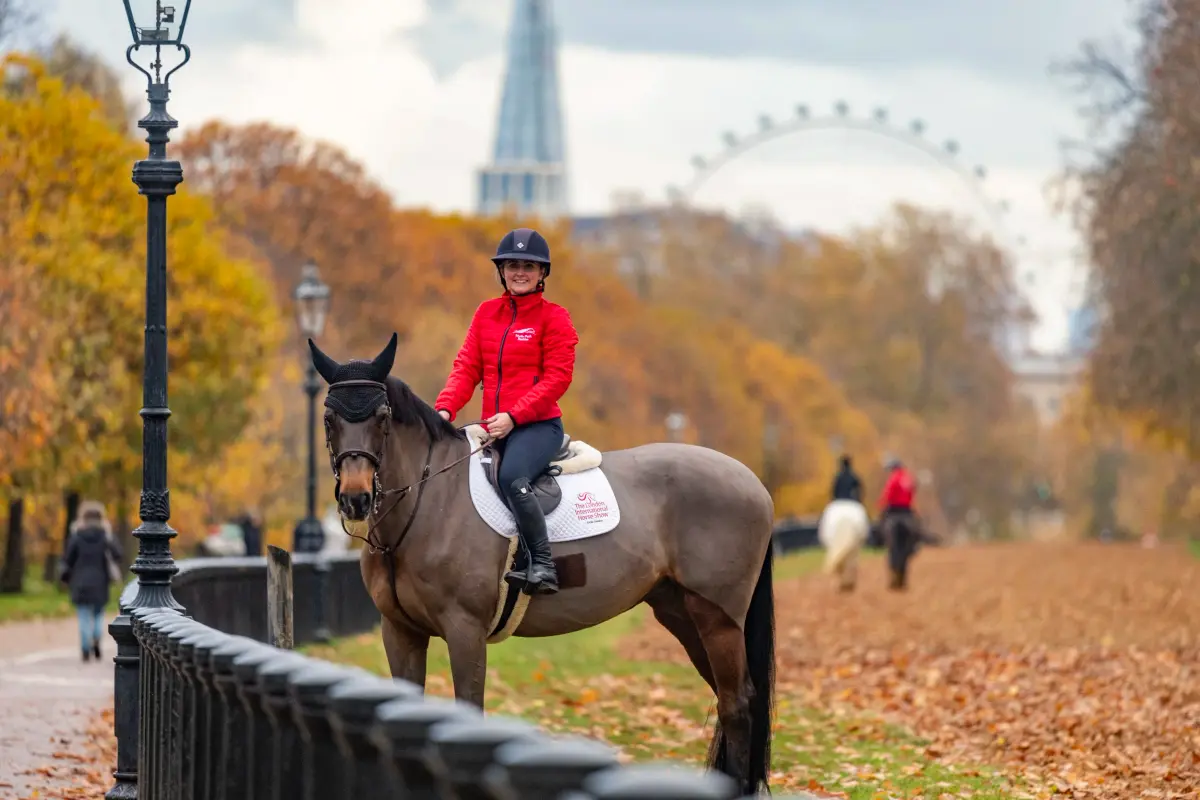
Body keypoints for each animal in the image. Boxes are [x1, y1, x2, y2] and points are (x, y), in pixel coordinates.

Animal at [308, 334, 778, 795]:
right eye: (329, 419)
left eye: (382, 417)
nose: (355, 498)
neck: (430, 499)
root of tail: (752, 481)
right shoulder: (400, 632)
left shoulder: (464, 631)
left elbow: (469, 705)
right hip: (683, 613)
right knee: (731, 697)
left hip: (718, 620)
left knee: (736, 704)